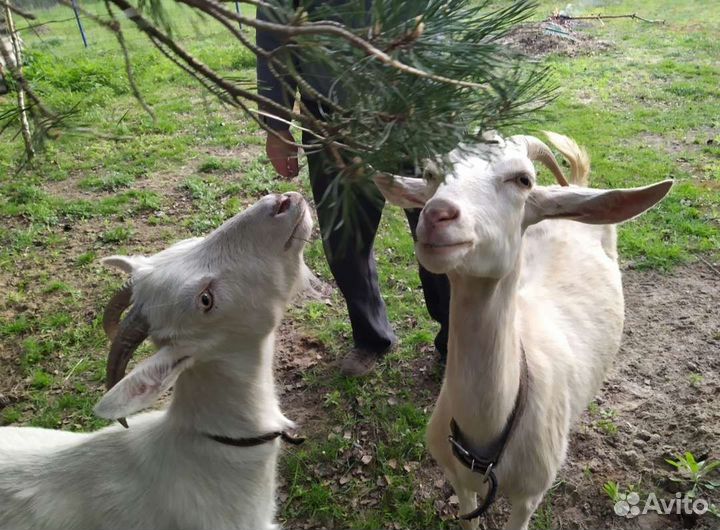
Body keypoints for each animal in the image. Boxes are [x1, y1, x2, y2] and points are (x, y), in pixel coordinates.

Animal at [374, 132, 671, 530]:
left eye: (522, 179)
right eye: (430, 174)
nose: (437, 214)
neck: (486, 436)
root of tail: (570, 190)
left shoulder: (530, 495)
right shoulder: (457, 481)